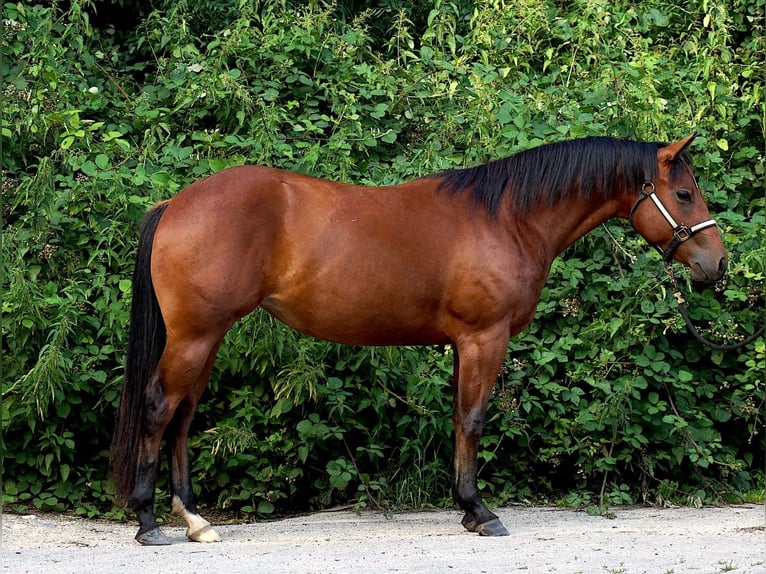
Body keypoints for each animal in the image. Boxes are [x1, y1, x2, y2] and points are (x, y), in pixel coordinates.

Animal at [110, 134, 727, 545]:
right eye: (684, 193)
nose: (717, 265)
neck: (508, 217)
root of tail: (175, 204)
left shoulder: (462, 344)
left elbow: (458, 418)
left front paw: (466, 509)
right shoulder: (484, 338)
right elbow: (473, 419)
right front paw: (482, 512)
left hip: (206, 339)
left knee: (183, 417)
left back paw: (195, 521)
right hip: (194, 337)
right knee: (159, 407)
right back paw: (149, 523)